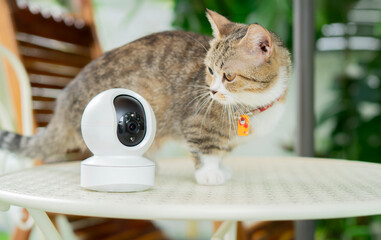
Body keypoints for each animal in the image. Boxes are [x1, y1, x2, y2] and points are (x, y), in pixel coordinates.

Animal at [0, 9, 290, 186]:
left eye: (228, 76)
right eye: (209, 71)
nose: (212, 91)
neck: (255, 104)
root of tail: (64, 99)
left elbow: (219, 152)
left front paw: (221, 168)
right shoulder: (197, 122)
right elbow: (205, 150)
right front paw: (209, 173)